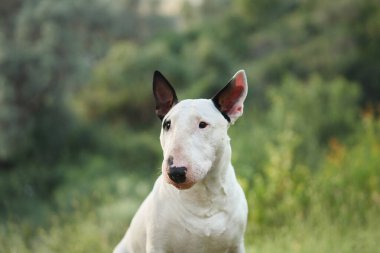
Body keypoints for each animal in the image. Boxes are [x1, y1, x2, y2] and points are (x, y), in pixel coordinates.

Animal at [113, 69, 249, 253]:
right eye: (167, 124)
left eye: (203, 124)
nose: (175, 172)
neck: (203, 199)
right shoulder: (157, 245)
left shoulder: (236, 245)